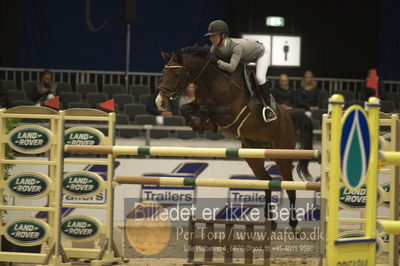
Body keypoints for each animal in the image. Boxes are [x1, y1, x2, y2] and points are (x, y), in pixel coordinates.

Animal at [158, 44, 314, 230]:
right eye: (163, 72)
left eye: (176, 74)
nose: (160, 102)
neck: (212, 81)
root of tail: (289, 116)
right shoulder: (197, 103)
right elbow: (186, 108)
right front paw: (198, 124)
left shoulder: (230, 112)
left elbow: (204, 109)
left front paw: (207, 124)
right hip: (253, 155)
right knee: (267, 182)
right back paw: (270, 220)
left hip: (282, 154)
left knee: (289, 185)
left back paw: (294, 223)